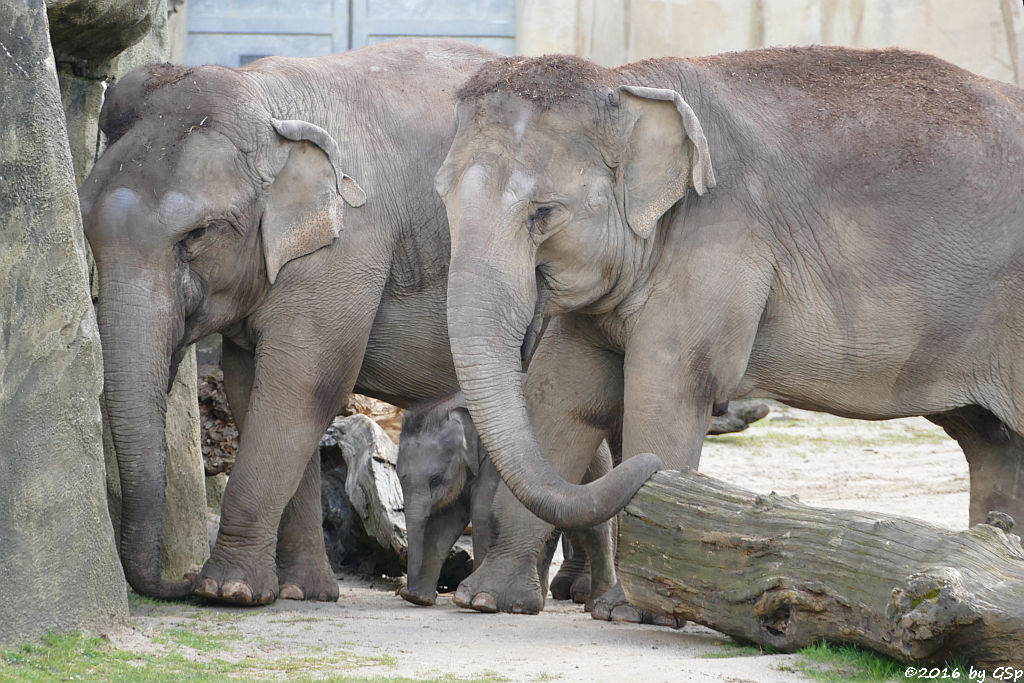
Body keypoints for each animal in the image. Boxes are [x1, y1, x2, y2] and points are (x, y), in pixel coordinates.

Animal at [77, 38, 497, 602]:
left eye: (197, 234)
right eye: (86, 229)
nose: (180, 580)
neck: (267, 101)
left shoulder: (348, 245)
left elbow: (301, 384)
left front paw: (227, 591)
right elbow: (249, 386)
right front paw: (301, 592)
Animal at [436, 45, 1024, 618]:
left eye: (544, 213)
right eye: (442, 198)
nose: (643, 470)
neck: (626, 80)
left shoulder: (720, 234)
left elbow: (668, 388)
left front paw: (627, 610)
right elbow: (561, 394)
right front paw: (487, 600)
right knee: (993, 443)